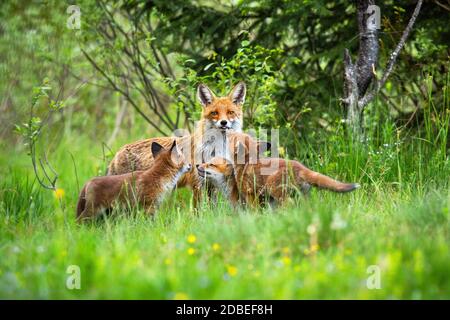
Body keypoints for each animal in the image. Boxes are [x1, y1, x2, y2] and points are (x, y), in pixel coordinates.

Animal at [106, 82, 246, 208]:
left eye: (230, 112)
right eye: (214, 113)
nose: (223, 122)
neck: (215, 149)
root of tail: (118, 152)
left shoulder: (212, 183)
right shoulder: (197, 184)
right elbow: (199, 211)